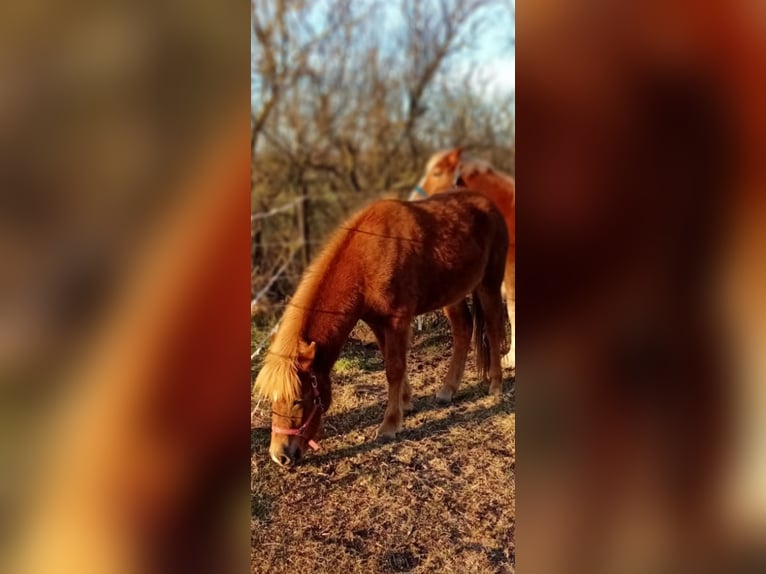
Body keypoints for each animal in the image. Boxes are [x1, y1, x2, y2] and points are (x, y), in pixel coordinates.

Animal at [255, 191, 512, 470]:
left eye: (299, 400)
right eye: (272, 400)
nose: (280, 455)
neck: (367, 258)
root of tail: (488, 203)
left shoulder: (397, 320)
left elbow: (394, 368)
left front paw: (389, 425)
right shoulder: (378, 322)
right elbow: (391, 362)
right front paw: (406, 403)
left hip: (489, 283)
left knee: (493, 328)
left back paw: (496, 385)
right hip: (452, 293)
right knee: (463, 329)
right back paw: (447, 390)